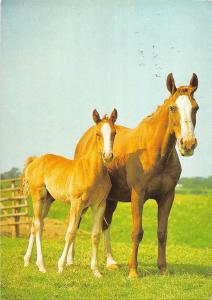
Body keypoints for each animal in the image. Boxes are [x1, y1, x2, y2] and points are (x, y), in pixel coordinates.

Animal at [22, 109, 117, 278]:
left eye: (114, 132)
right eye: (98, 133)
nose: (108, 155)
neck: (93, 171)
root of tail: (34, 162)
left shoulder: (99, 205)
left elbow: (95, 235)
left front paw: (96, 271)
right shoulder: (77, 203)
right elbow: (71, 232)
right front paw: (61, 266)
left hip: (48, 200)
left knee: (36, 223)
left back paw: (27, 261)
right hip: (38, 196)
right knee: (38, 224)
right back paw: (41, 265)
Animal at [73, 74, 199, 278]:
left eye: (196, 107)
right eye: (173, 108)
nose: (187, 144)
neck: (154, 151)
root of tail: (86, 137)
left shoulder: (167, 196)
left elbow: (162, 233)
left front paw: (163, 269)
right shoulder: (137, 195)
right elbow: (137, 232)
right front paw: (133, 271)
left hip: (110, 199)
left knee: (105, 224)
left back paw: (111, 262)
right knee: (77, 221)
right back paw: (70, 261)